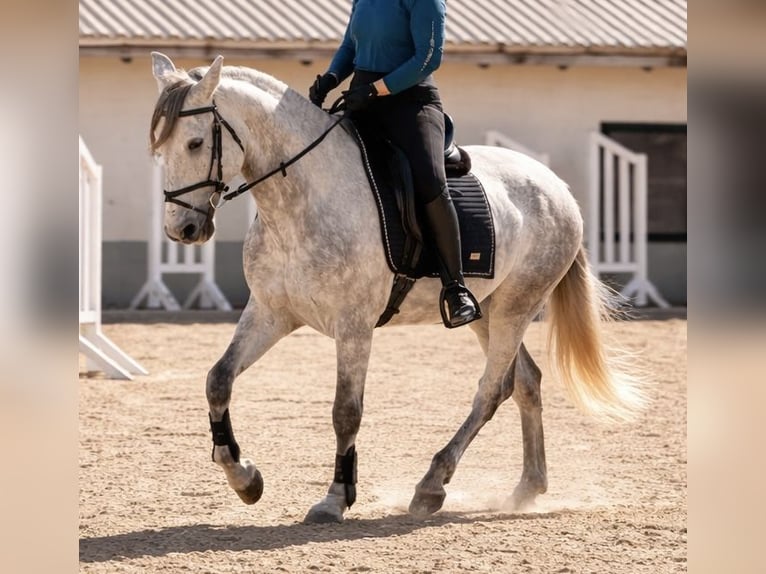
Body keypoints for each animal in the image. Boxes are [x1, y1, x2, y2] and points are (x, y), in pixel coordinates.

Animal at [149, 52, 646, 524]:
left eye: (195, 143)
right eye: (159, 148)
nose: (182, 230)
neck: (304, 199)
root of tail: (555, 186)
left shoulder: (353, 327)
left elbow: (345, 411)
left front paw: (336, 499)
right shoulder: (271, 313)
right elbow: (218, 380)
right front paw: (245, 477)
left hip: (516, 307)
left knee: (490, 390)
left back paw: (432, 485)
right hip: (488, 311)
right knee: (523, 382)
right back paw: (527, 487)